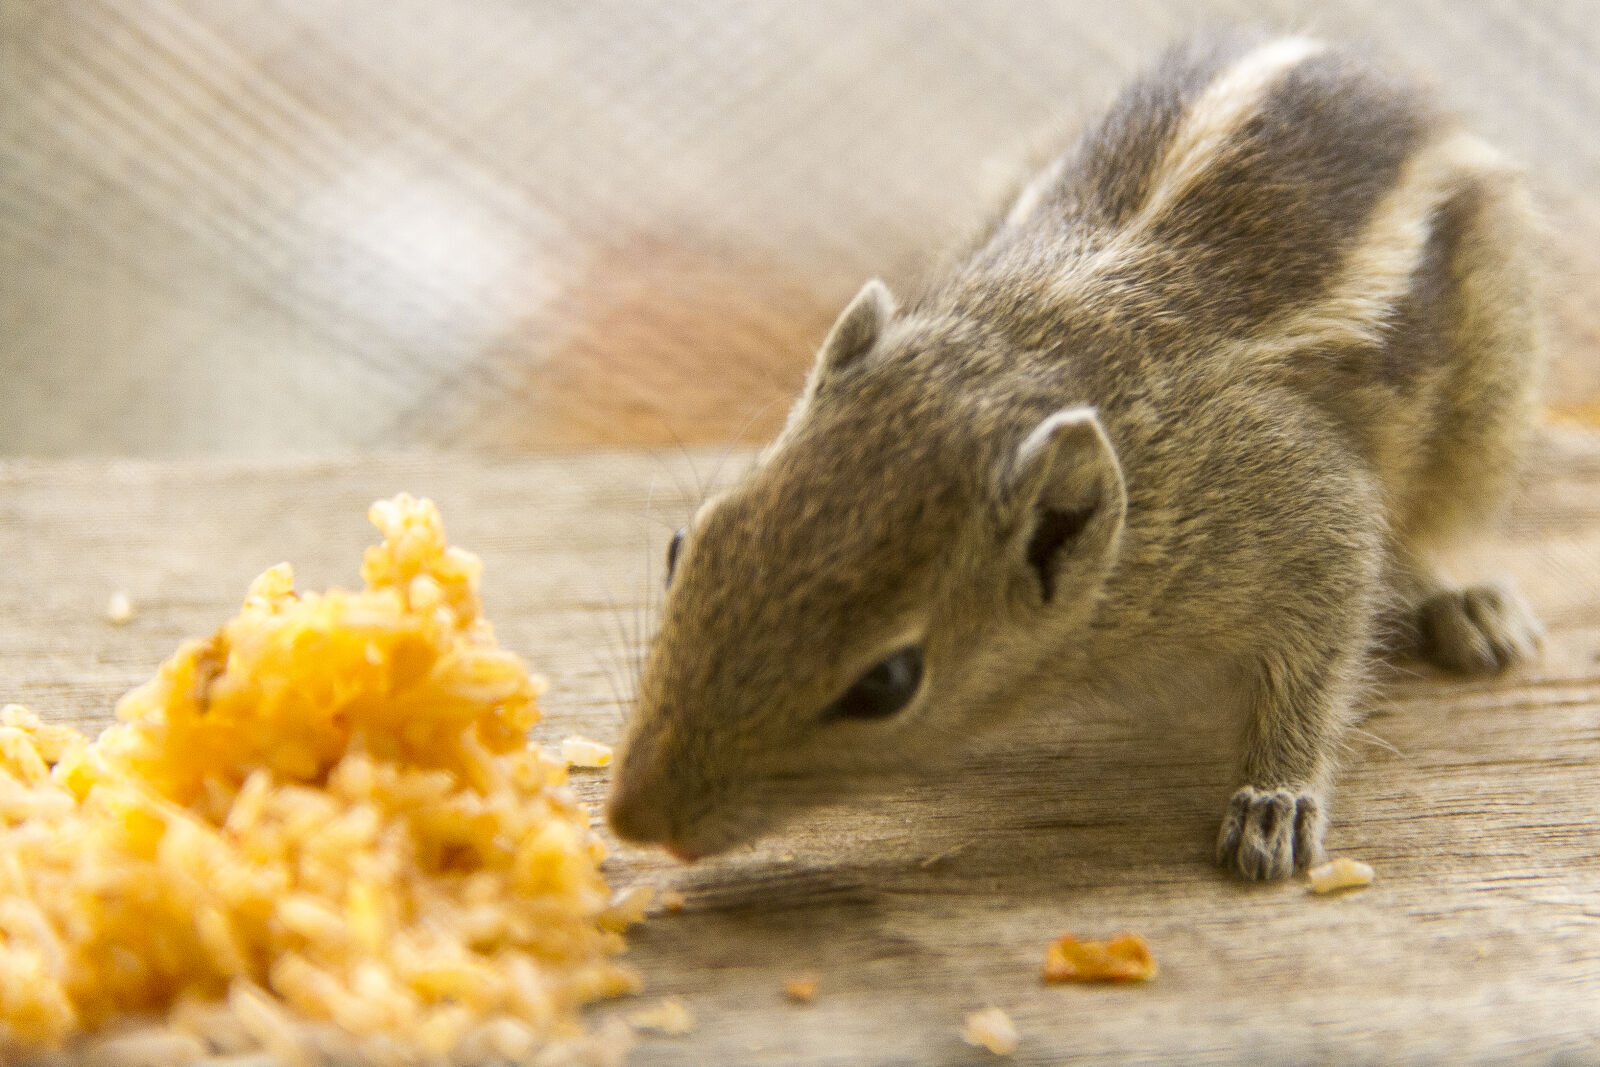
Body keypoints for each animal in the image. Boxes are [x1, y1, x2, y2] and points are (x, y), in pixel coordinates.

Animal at [606, 31, 1544, 880]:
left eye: (889, 682)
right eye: (683, 546)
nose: (632, 819)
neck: (1033, 345)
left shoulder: (1303, 509)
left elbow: (1317, 656)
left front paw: (1274, 803)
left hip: (1488, 396)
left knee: (1431, 532)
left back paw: (1468, 605)